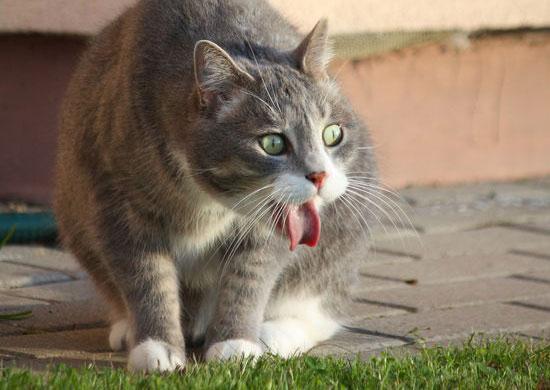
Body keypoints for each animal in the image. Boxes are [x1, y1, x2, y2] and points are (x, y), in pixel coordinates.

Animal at [52, 0, 380, 374]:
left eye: (332, 134)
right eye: (272, 143)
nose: (319, 175)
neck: (207, 201)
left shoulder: (268, 227)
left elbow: (248, 279)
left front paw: (236, 344)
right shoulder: (119, 204)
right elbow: (147, 279)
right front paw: (156, 347)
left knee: (321, 306)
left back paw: (272, 334)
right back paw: (126, 327)